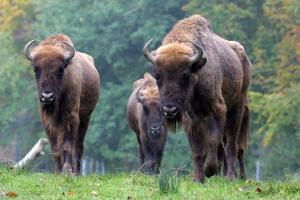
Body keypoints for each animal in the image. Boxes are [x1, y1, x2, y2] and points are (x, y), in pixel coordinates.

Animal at [23, 33, 100, 174]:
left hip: (85, 118)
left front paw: (67, 170)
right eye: (36, 70)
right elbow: (55, 148)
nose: (47, 96)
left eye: (60, 70)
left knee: (79, 146)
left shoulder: (70, 117)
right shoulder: (47, 122)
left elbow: (67, 145)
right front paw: (58, 172)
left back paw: (77, 172)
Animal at [143, 14, 251, 182]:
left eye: (185, 75)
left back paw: (231, 177)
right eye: (157, 75)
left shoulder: (218, 109)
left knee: (232, 144)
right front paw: (198, 178)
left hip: (237, 108)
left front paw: (210, 170)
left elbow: (213, 140)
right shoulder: (191, 118)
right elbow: (196, 149)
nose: (169, 109)